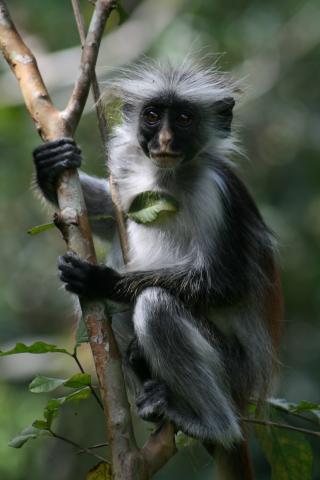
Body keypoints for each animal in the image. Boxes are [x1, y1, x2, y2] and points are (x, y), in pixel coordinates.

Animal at [33, 61, 282, 480]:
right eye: (152, 116)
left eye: (182, 118)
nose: (164, 139)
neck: (169, 177)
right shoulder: (134, 175)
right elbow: (107, 215)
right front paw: (49, 169)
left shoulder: (217, 192)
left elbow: (227, 282)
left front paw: (105, 279)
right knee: (113, 313)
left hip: (232, 367)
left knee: (153, 303)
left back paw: (214, 426)